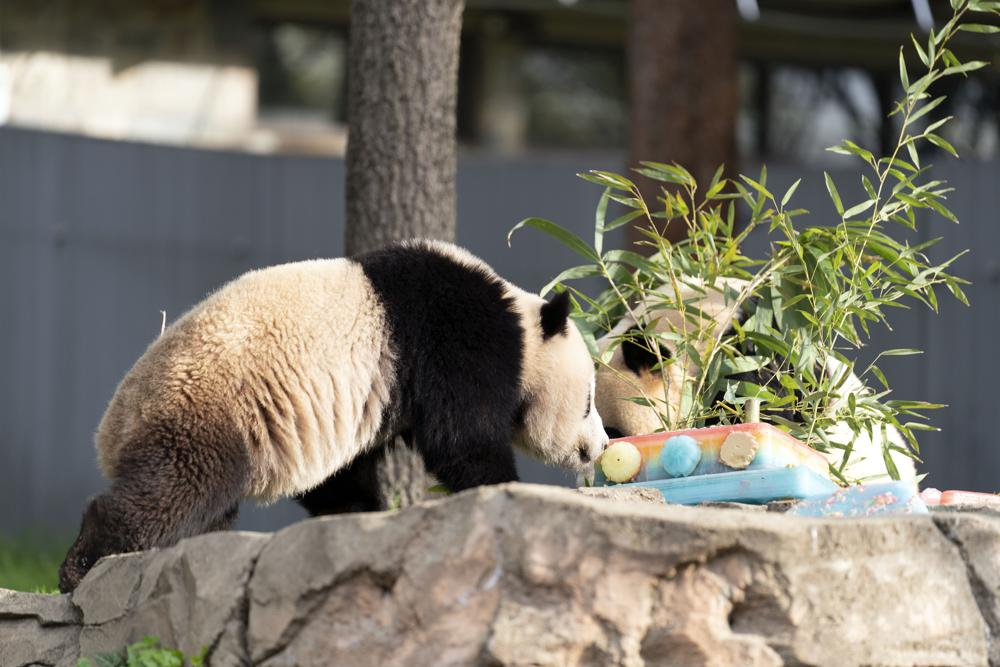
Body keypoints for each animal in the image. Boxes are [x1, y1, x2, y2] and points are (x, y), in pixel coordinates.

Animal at [64, 241, 608, 596]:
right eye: (587, 402)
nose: (600, 446)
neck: (520, 325)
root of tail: (111, 429)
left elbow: (341, 476)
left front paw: (363, 514)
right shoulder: (455, 340)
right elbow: (462, 440)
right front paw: (501, 488)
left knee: (203, 505)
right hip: (207, 407)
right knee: (176, 486)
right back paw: (83, 565)